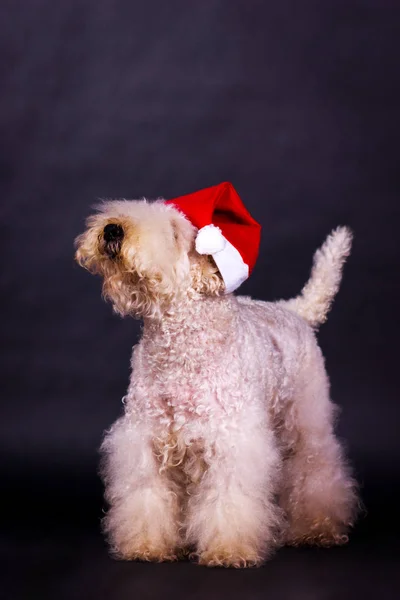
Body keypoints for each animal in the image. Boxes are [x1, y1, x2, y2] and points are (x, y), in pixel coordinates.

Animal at [76, 188, 360, 568]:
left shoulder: (232, 440)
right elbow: (146, 496)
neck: (180, 343)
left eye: (175, 232)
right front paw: (147, 546)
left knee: (317, 472)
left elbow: (229, 499)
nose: (111, 230)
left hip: (307, 421)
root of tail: (293, 310)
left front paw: (229, 550)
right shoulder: (145, 439)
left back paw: (318, 528)